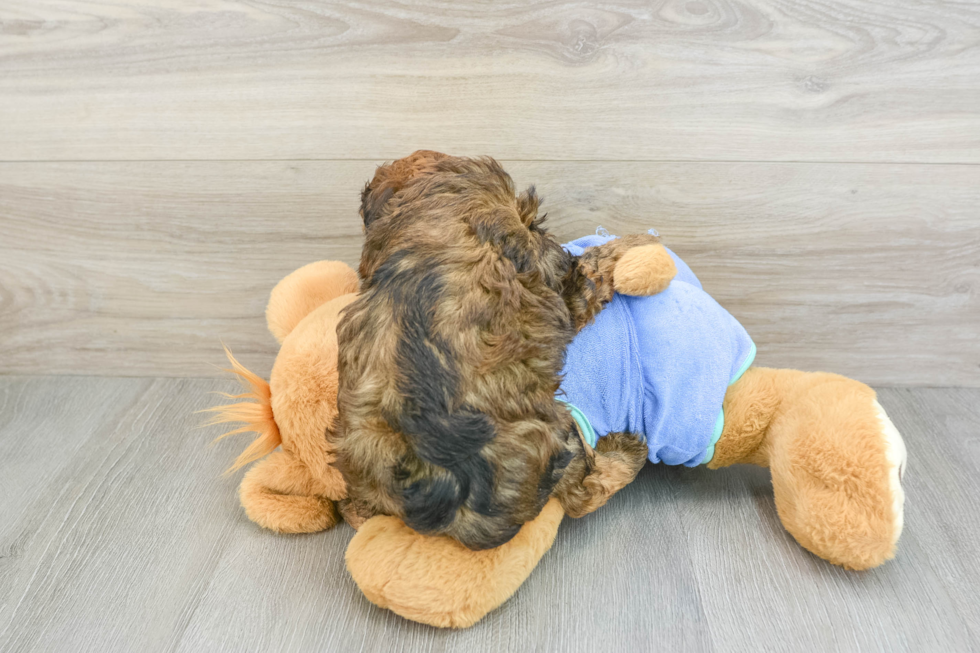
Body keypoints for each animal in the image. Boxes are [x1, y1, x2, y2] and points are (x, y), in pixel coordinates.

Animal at [334, 150, 660, 548]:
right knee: (583, 492)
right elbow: (594, 267)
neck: (432, 218)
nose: (552, 242)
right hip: (557, 438)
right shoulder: (565, 290)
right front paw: (638, 243)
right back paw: (627, 450)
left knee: (354, 510)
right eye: (532, 223)